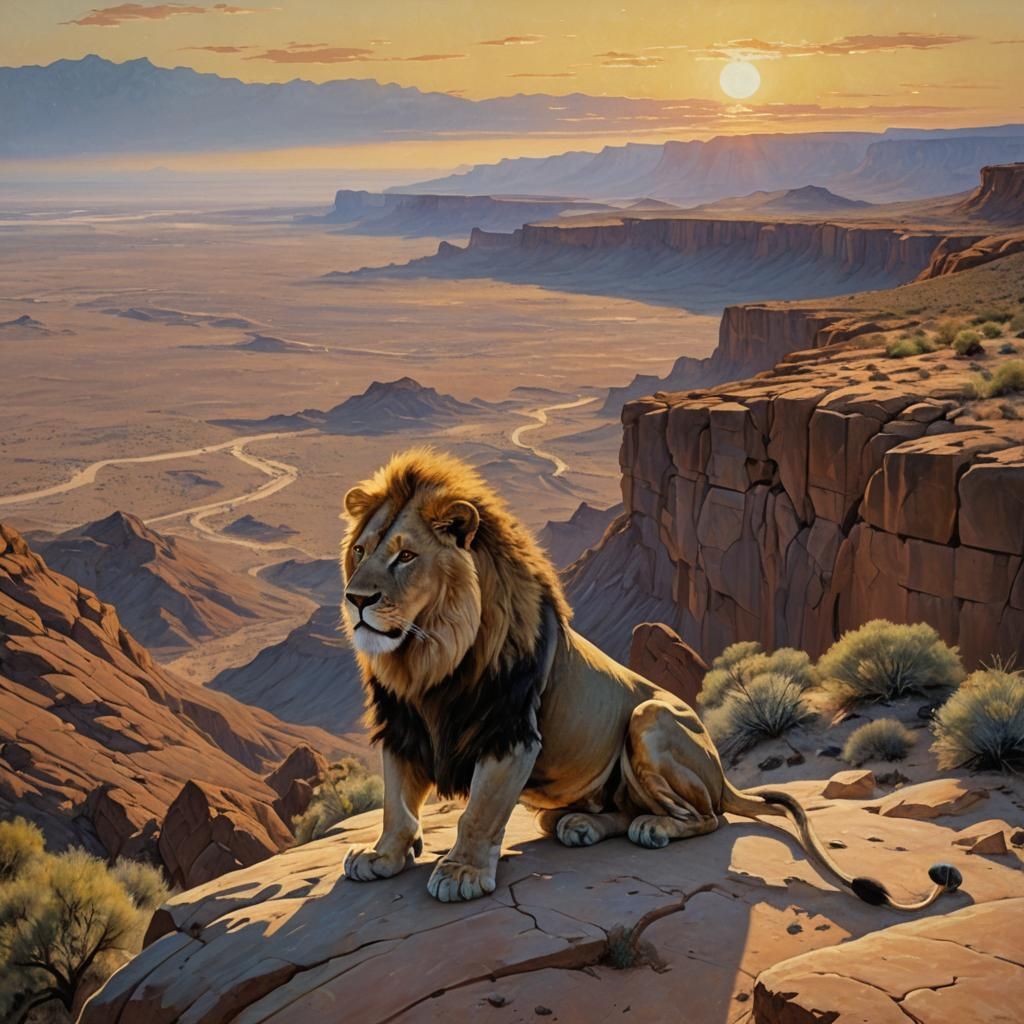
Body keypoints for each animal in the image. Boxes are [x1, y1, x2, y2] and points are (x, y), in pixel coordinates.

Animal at [339, 448, 961, 908]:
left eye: (405, 557)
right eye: (362, 550)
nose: (356, 599)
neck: (428, 657)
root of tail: (722, 775)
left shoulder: (511, 730)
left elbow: (480, 811)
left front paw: (462, 872)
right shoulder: (401, 725)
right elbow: (396, 803)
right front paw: (383, 856)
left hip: (652, 716)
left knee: (707, 817)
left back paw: (651, 829)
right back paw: (579, 825)